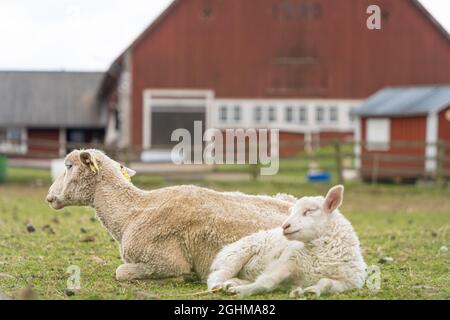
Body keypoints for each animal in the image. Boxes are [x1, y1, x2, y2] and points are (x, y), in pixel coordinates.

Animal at [45, 149, 292, 282]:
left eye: (68, 166)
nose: (49, 196)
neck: (132, 212)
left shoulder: (165, 261)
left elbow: (121, 271)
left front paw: (185, 277)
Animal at [209, 185, 368, 298]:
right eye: (291, 212)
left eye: (309, 210)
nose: (285, 226)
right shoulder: (286, 261)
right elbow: (267, 282)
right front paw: (242, 291)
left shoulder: (347, 283)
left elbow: (326, 283)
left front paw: (311, 291)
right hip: (235, 256)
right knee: (218, 275)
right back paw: (218, 287)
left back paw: (230, 284)